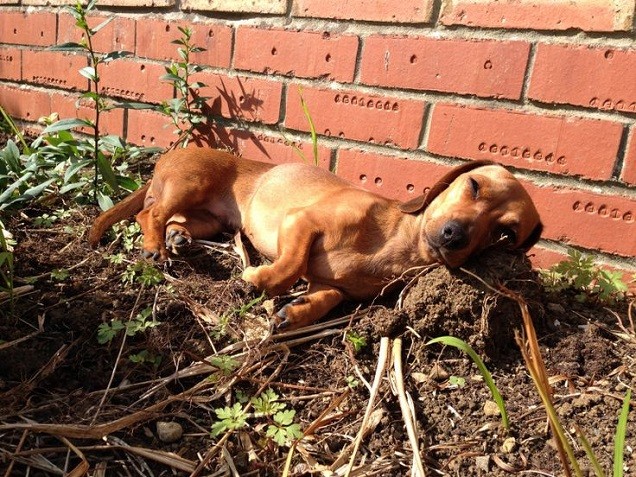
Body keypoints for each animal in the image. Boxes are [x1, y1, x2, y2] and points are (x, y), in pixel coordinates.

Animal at [88, 148, 540, 328]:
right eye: (474, 185)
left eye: (505, 233)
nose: (454, 236)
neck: (395, 244)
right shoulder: (300, 223)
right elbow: (290, 266)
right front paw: (259, 280)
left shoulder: (334, 287)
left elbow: (328, 297)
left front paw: (297, 312)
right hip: (190, 184)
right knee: (151, 214)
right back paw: (154, 246)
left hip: (211, 222)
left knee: (175, 221)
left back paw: (178, 239)